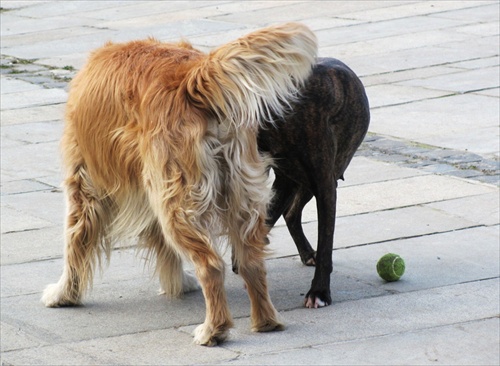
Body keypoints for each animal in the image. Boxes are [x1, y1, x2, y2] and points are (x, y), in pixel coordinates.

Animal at [42, 23, 316, 346]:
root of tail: (192, 78)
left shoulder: (85, 184)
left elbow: (74, 243)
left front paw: (63, 294)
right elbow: (164, 248)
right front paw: (178, 284)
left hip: (178, 201)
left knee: (211, 266)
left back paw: (213, 330)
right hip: (240, 195)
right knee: (251, 261)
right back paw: (265, 321)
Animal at [236, 58, 370, 308]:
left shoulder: (323, 185)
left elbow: (325, 240)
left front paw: (319, 291)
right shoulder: (283, 180)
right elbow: (268, 216)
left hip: (308, 183)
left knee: (290, 213)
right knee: (288, 214)